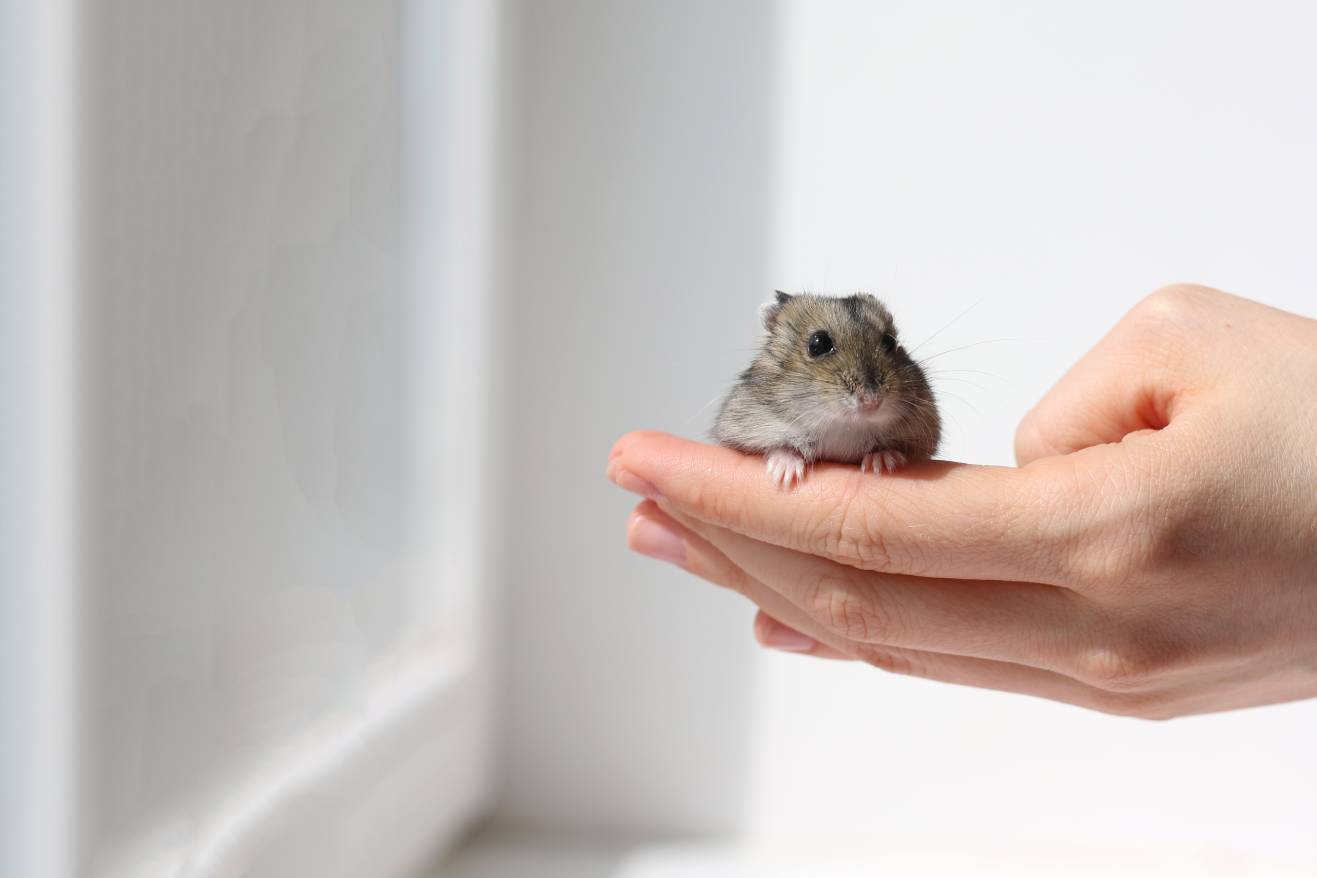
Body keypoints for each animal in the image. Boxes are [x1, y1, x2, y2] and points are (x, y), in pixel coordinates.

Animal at [712, 291, 941, 489]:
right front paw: (785, 474)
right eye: (818, 343)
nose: (871, 401)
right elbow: (779, 448)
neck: (842, 428)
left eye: (890, 341)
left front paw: (883, 462)